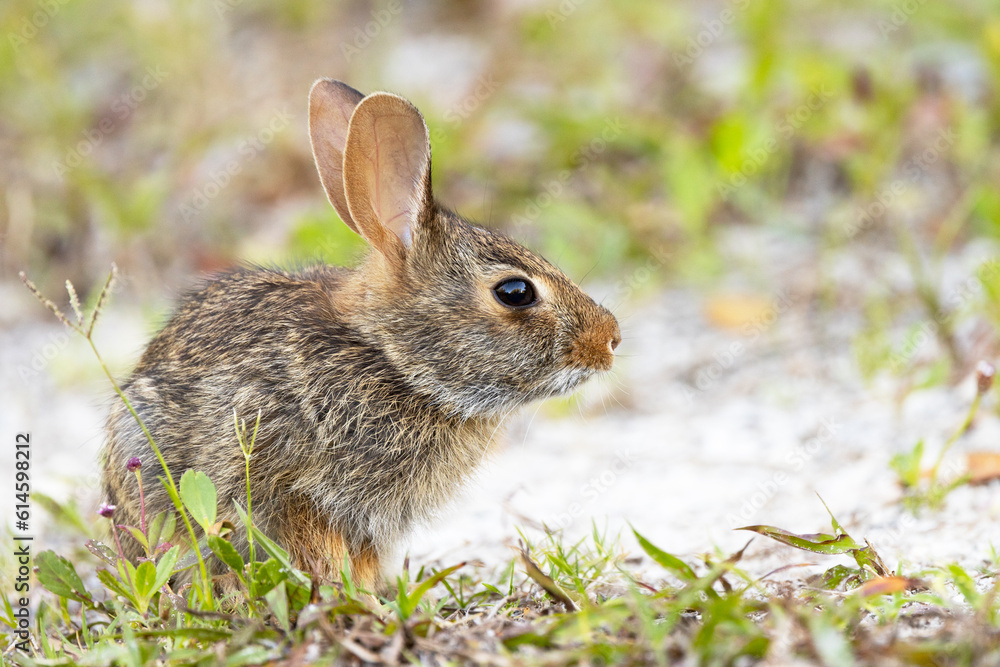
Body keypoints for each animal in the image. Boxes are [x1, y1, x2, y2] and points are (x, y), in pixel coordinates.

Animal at [101, 79, 621, 591]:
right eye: (515, 292)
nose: (611, 339)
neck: (390, 358)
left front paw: (371, 595)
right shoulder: (292, 487)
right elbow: (318, 548)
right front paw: (356, 598)